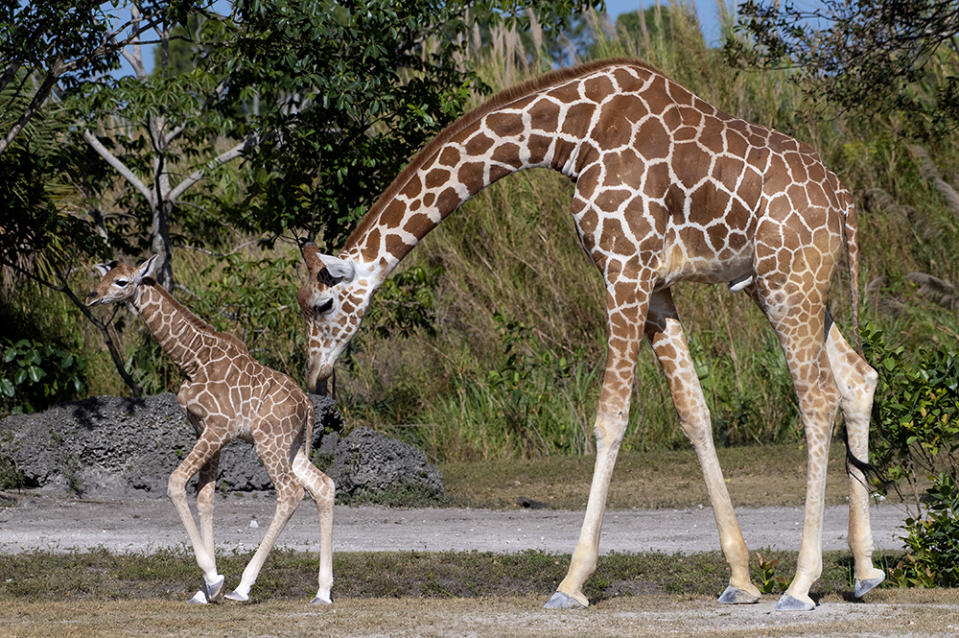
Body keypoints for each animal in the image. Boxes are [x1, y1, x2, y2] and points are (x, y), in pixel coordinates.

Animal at [87, 255, 334, 604]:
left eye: (121, 281)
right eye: (104, 275)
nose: (92, 296)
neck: (191, 359)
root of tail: (309, 405)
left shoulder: (217, 428)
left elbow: (177, 482)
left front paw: (214, 580)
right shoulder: (205, 430)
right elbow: (205, 497)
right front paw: (204, 589)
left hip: (269, 442)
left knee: (290, 492)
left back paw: (242, 588)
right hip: (292, 446)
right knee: (323, 486)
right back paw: (323, 592)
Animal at [298, 57, 884, 612]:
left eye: (321, 304)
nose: (315, 377)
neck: (572, 135)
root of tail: (844, 200)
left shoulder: (623, 268)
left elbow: (610, 418)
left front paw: (572, 582)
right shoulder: (654, 283)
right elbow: (693, 411)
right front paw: (740, 579)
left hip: (789, 281)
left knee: (818, 397)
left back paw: (802, 584)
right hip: (787, 286)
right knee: (858, 378)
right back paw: (864, 572)